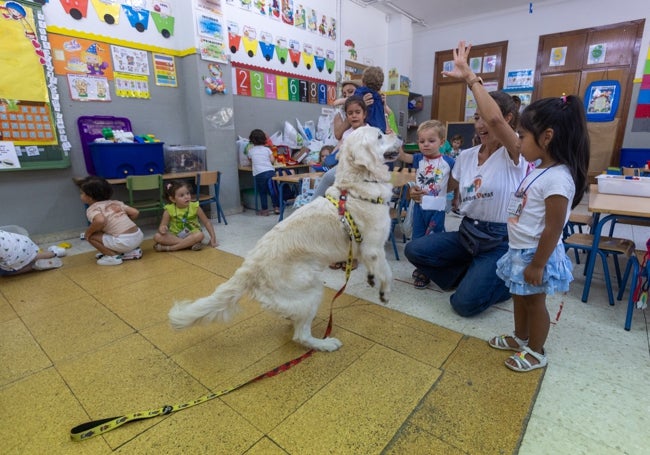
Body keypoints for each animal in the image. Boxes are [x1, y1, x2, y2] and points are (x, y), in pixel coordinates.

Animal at [167, 127, 400, 352]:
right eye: (380, 135)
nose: (397, 134)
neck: (356, 187)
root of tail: (249, 267)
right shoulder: (373, 248)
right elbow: (388, 272)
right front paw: (385, 293)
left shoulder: (365, 251)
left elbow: (376, 269)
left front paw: (372, 278)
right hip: (312, 289)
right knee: (301, 335)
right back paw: (325, 344)